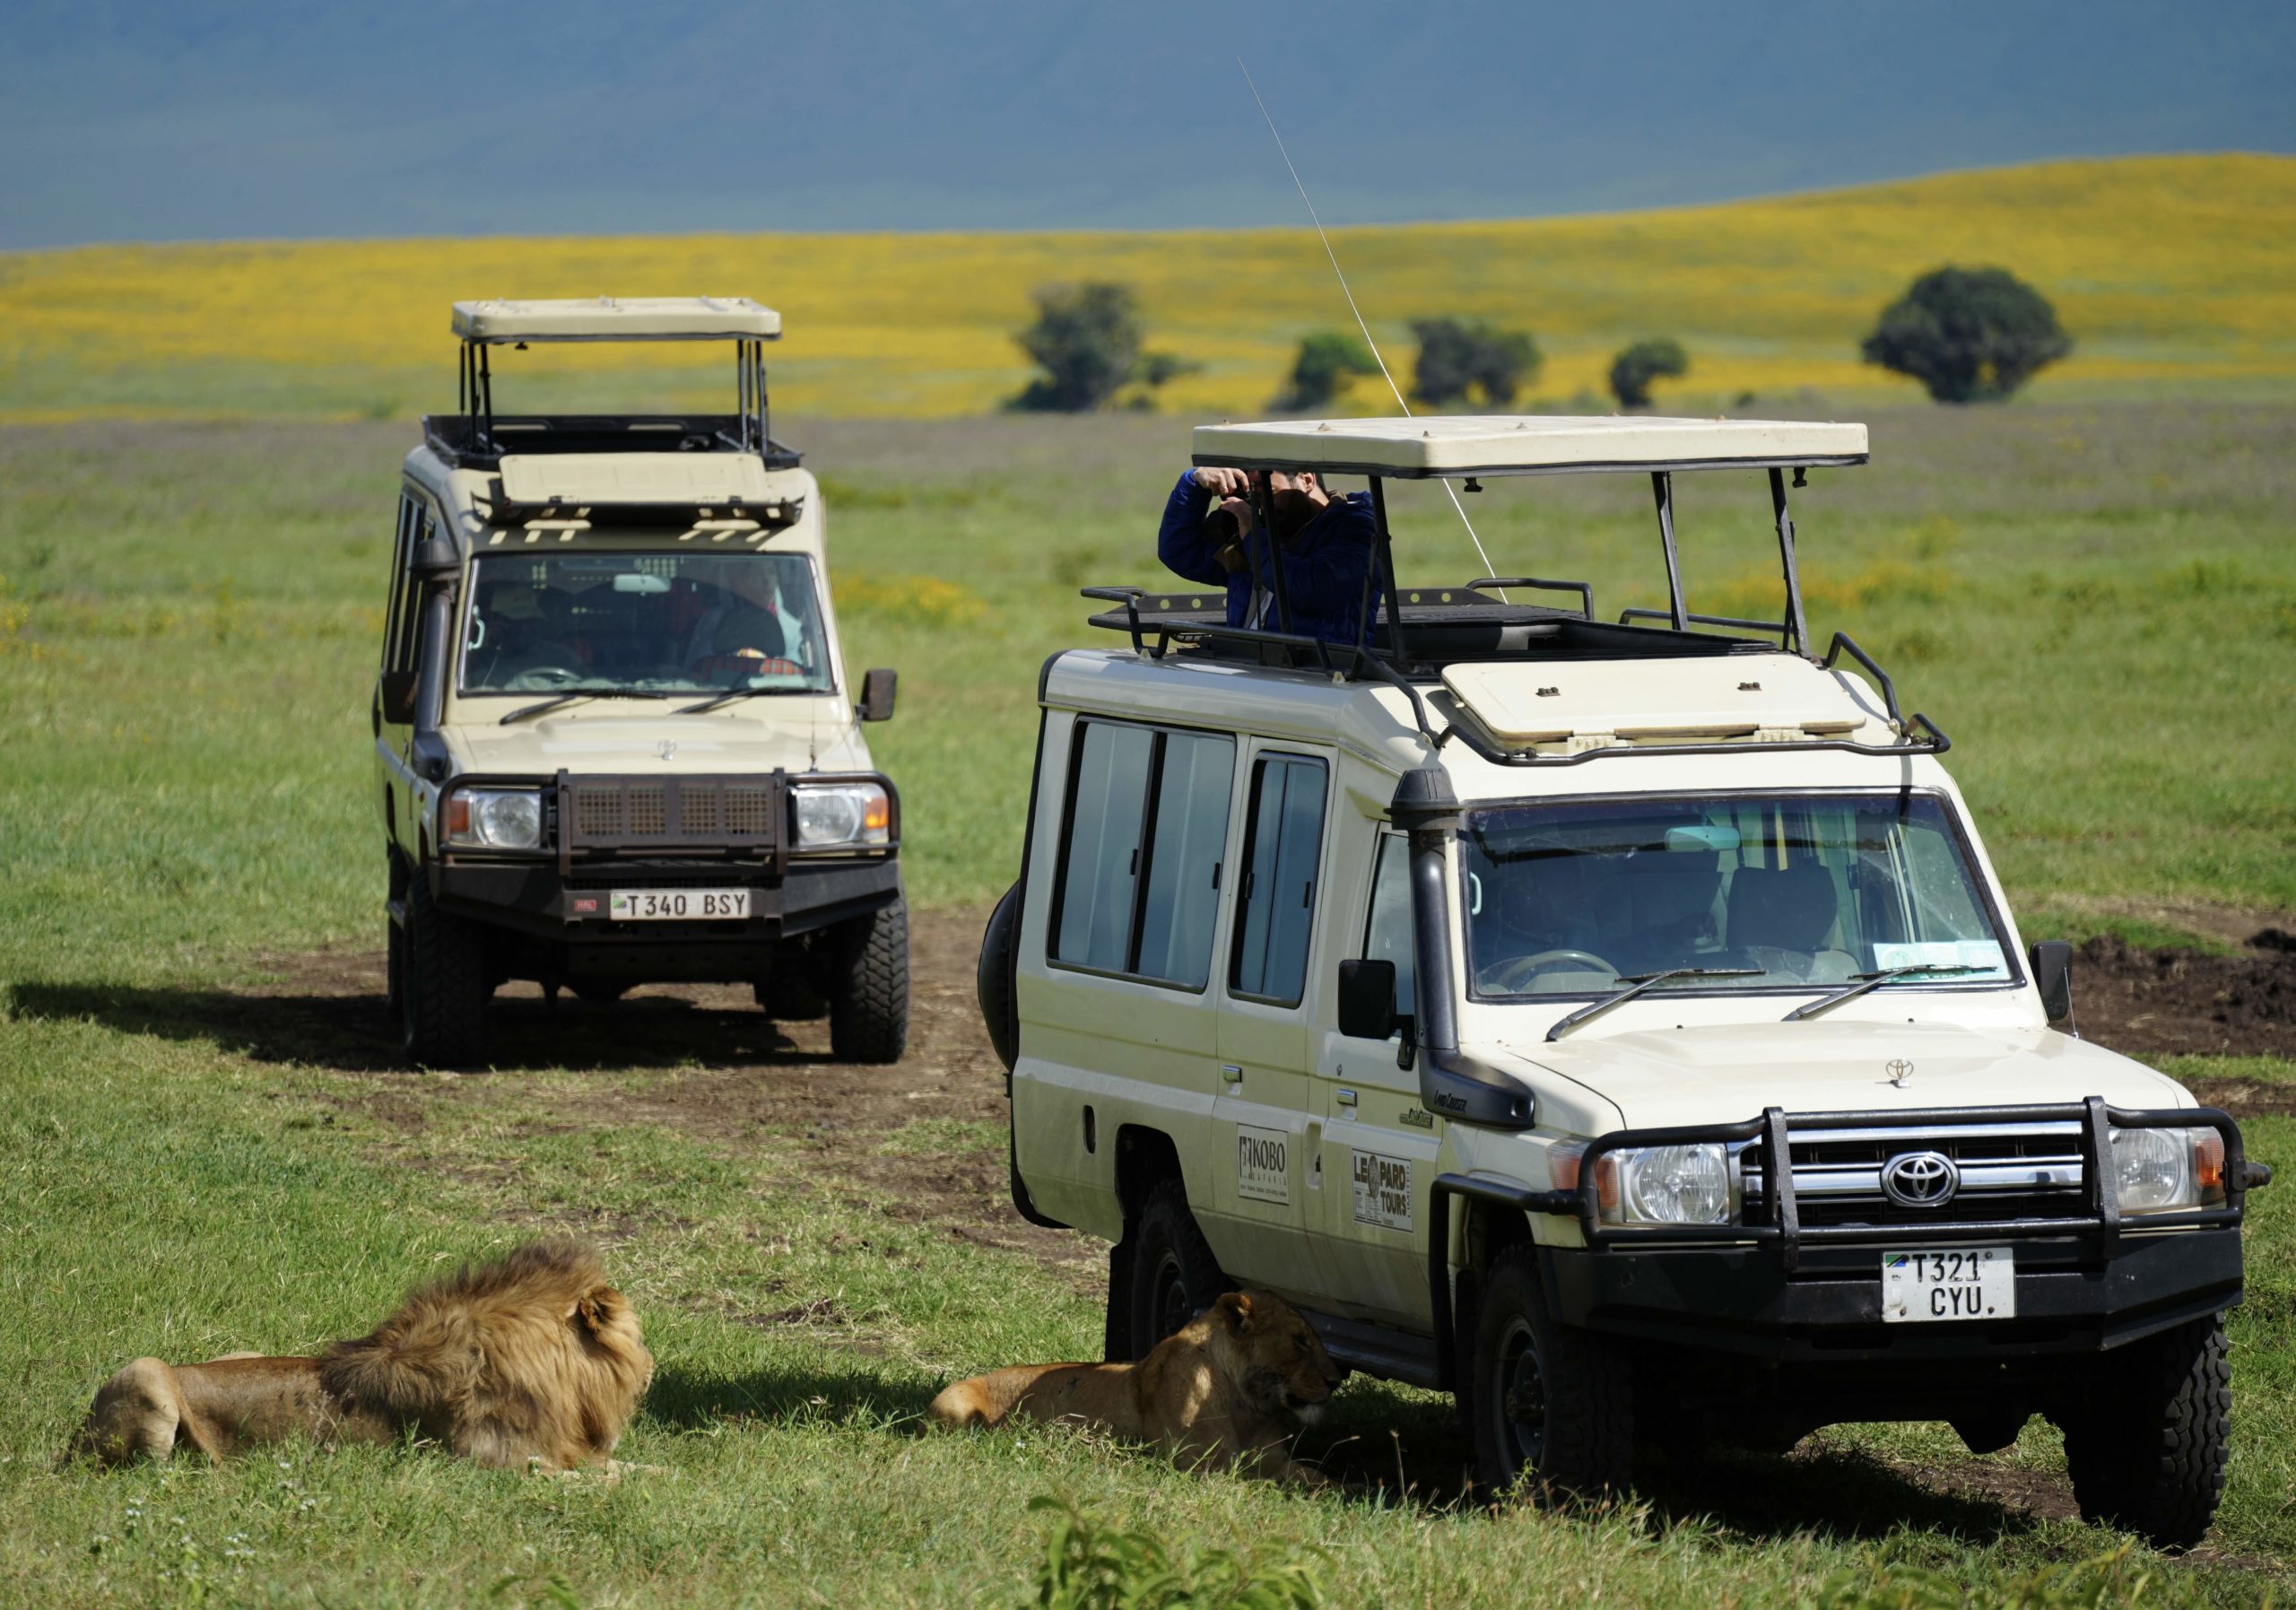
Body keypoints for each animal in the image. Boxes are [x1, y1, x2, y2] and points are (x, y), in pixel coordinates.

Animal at [923, 1285, 1341, 1488]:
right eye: (1299, 1340)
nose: (1336, 1380)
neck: (1250, 1405)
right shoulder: (1203, 1465)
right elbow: (1256, 1481)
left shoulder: (1273, 1457)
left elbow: (1317, 1479)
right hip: (955, 1405)